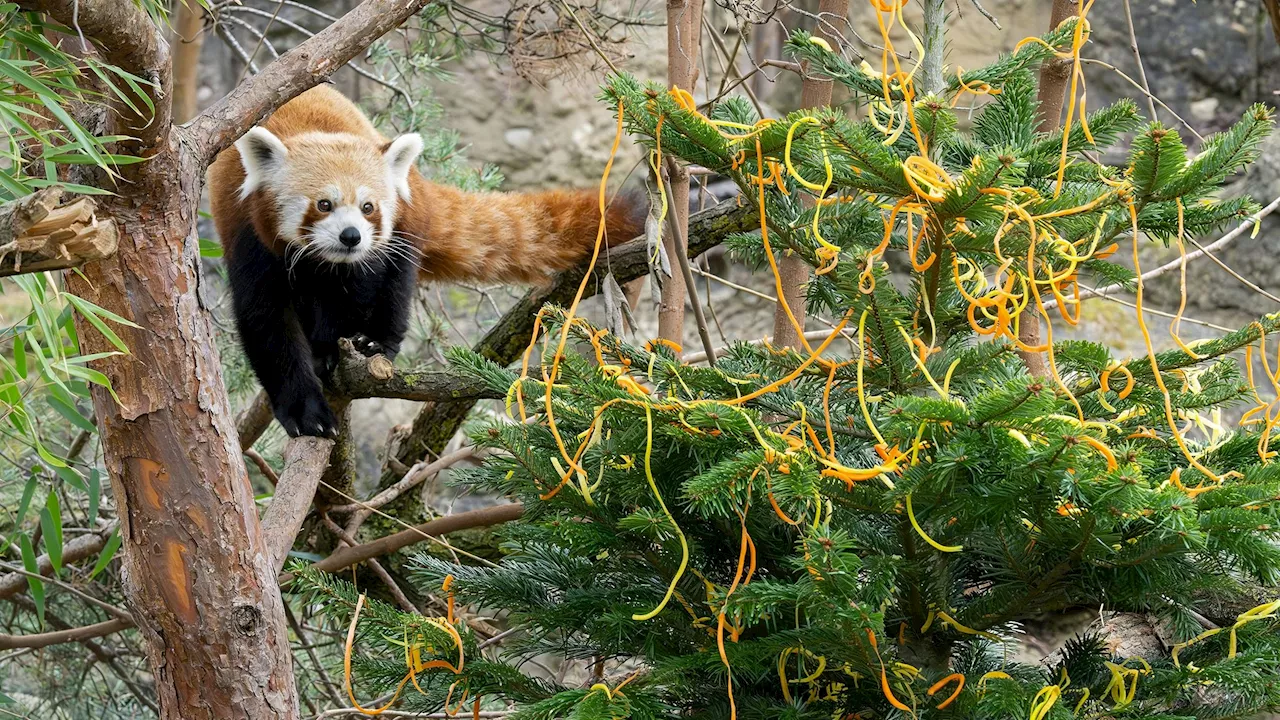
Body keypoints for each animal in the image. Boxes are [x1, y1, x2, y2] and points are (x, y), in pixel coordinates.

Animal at [212, 81, 650, 435]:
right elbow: (268, 324)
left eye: (368, 207)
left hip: (407, 226)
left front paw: (337, 347)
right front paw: (307, 411)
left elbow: (357, 292)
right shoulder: (250, 238)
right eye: (324, 204)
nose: (351, 236)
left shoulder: (369, 256)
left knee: (395, 288)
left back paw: (376, 342)